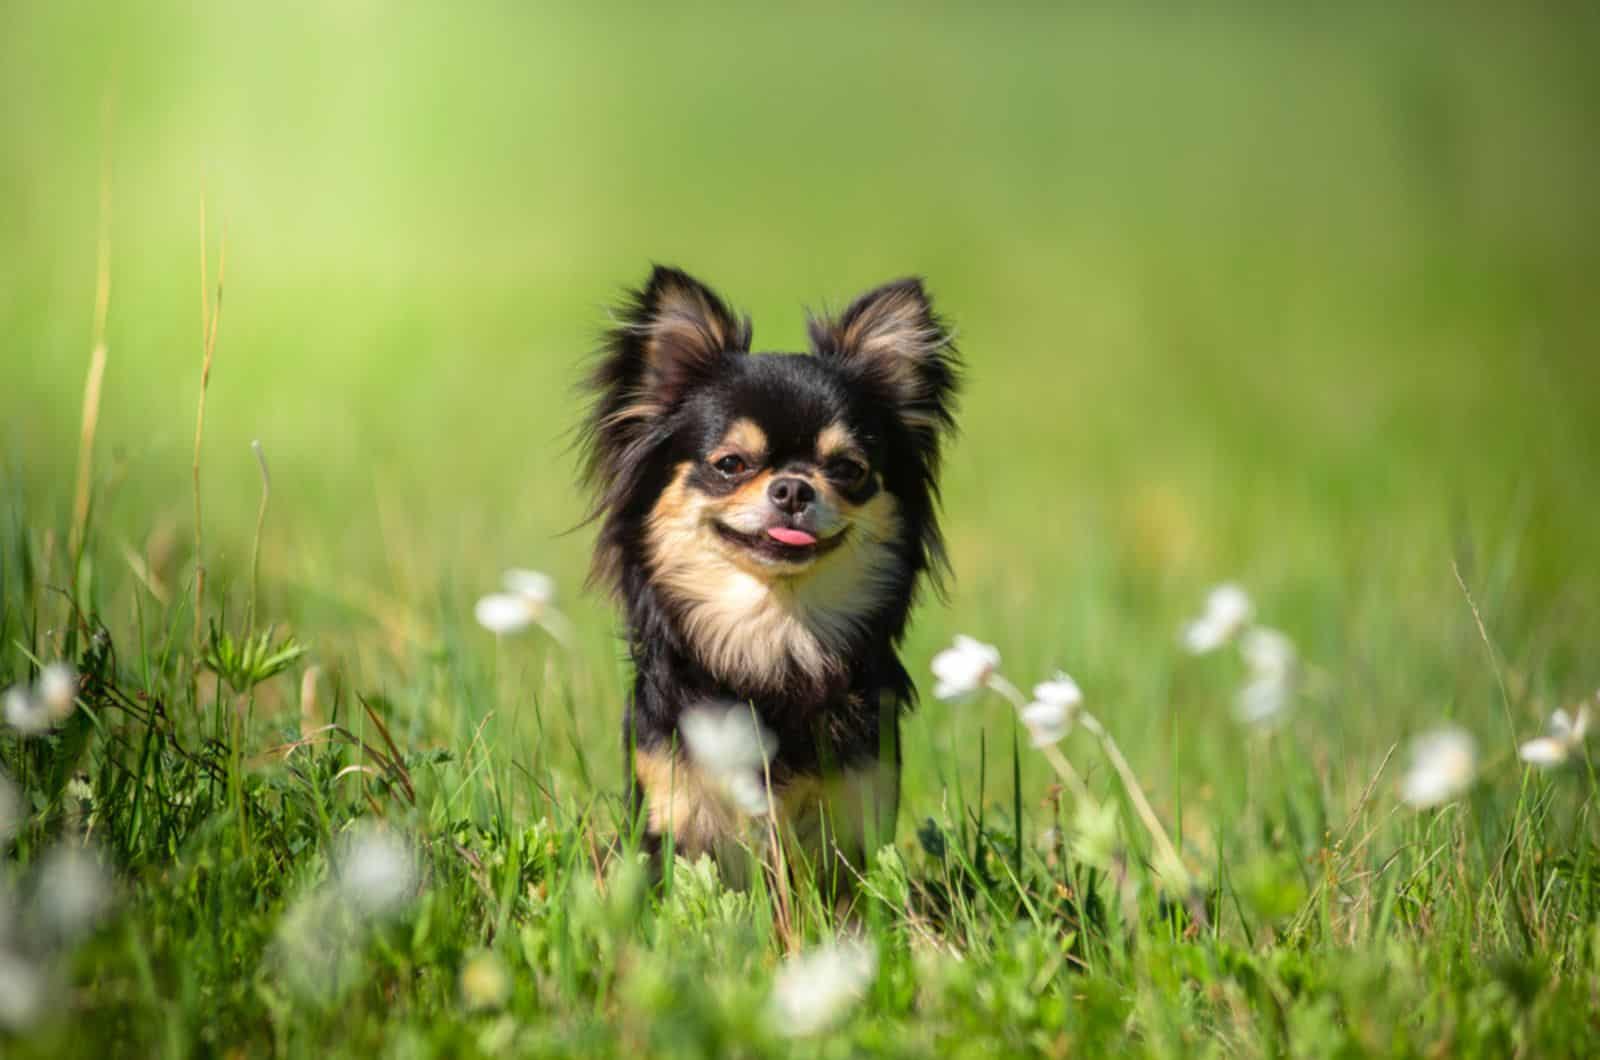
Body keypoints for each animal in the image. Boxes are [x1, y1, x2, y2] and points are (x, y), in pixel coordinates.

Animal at [579, 265, 960, 890]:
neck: (774, 634)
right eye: (731, 464)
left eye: (847, 469)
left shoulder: (855, 816)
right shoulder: (671, 809)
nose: (793, 488)